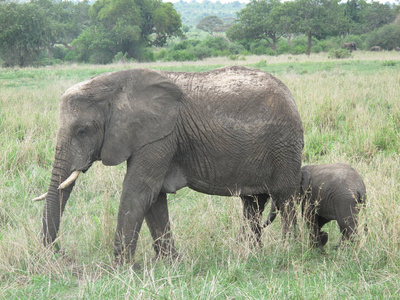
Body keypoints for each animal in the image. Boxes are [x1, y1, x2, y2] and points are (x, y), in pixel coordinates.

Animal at [34, 67, 304, 264]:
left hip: (284, 147)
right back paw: (250, 255)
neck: (114, 84)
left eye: (82, 131)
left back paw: (289, 251)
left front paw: (119, 267)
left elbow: (138, 190)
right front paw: (171, 263)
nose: (61, 254)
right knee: (252, 204)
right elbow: (154, 198)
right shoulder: (150, 137)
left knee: (284, 199)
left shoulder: (160, 136)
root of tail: (290, 95)